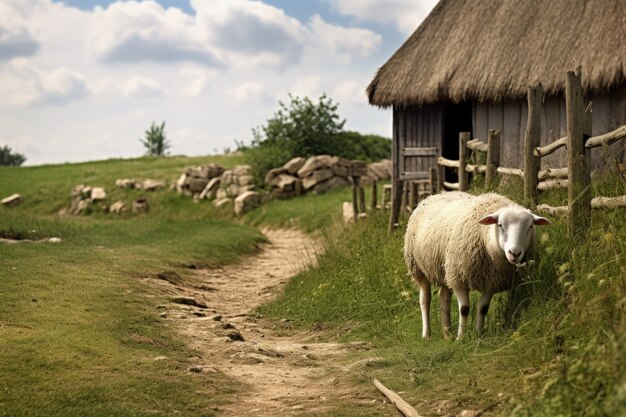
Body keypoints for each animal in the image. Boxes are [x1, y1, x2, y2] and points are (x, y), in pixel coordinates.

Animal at [402, 192, 548, 338]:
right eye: (500, 225)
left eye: (530, 226)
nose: (515, 253)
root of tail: (438, 194)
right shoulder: (459, 278)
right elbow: (464, 309)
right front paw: (461, 337)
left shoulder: (491, 282)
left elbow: (483, 308)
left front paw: (478, 334)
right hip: (418, 268)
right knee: (425, 300)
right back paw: (427, 334)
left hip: (445, 270)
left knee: (444, 298)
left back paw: (447, 333)